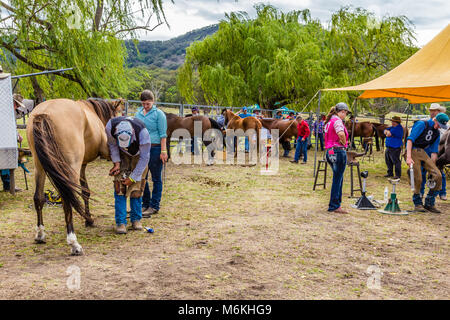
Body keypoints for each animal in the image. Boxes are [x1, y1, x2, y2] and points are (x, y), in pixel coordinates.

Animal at [27, 97, 122, 255]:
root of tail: (43, 114)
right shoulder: (102, 155)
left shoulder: (82, 165)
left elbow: (85, 191)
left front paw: (88, 219)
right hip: (71, 168)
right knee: (67, 200)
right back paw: (73, 243)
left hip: (39, 167)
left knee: (38, 198)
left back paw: (40, 234)